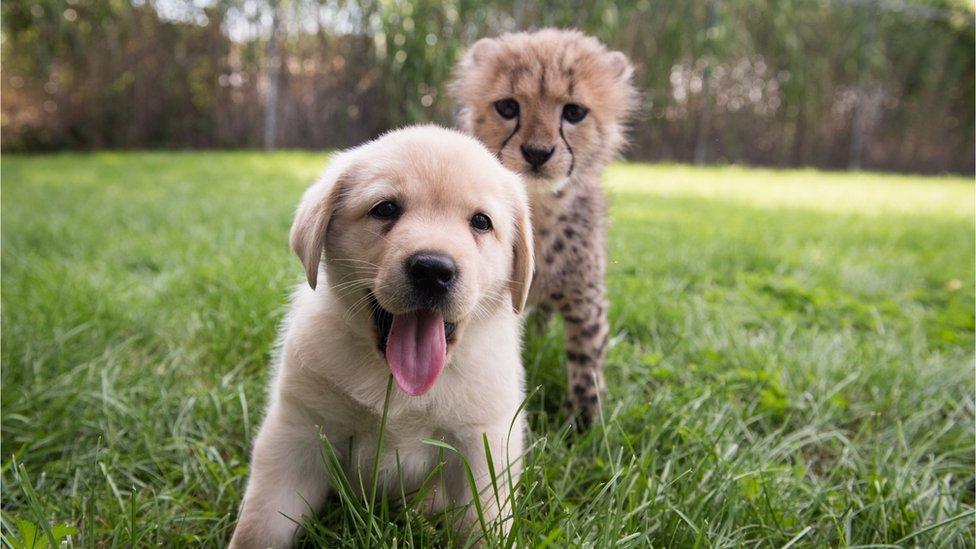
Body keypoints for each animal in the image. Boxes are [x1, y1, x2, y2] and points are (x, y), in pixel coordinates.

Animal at [229, 126, 532, 544]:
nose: (433, 269)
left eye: (481, 222)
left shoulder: (481, 445)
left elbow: (484, 524)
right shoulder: (298, 433)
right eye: (386, 209)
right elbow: (261, 525)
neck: (394, 381)